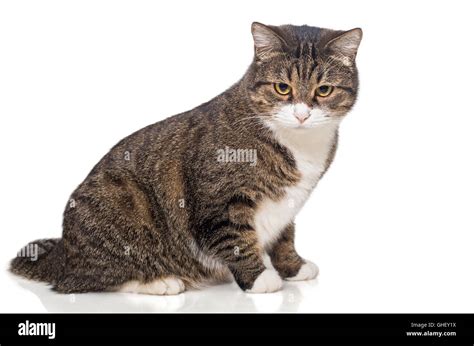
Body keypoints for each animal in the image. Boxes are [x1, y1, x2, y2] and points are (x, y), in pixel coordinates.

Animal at [10, 21, 362, 294]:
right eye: (282, 88)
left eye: (324, 90)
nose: (302, 114)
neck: (297, 142)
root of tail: (63, 254)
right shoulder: (220, 199)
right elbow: (235, 238)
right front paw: (258, 278)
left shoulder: (287, 204)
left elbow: (285, 238)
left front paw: (293, 267)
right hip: (119, 202)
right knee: (88, 280)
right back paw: (159, 282)